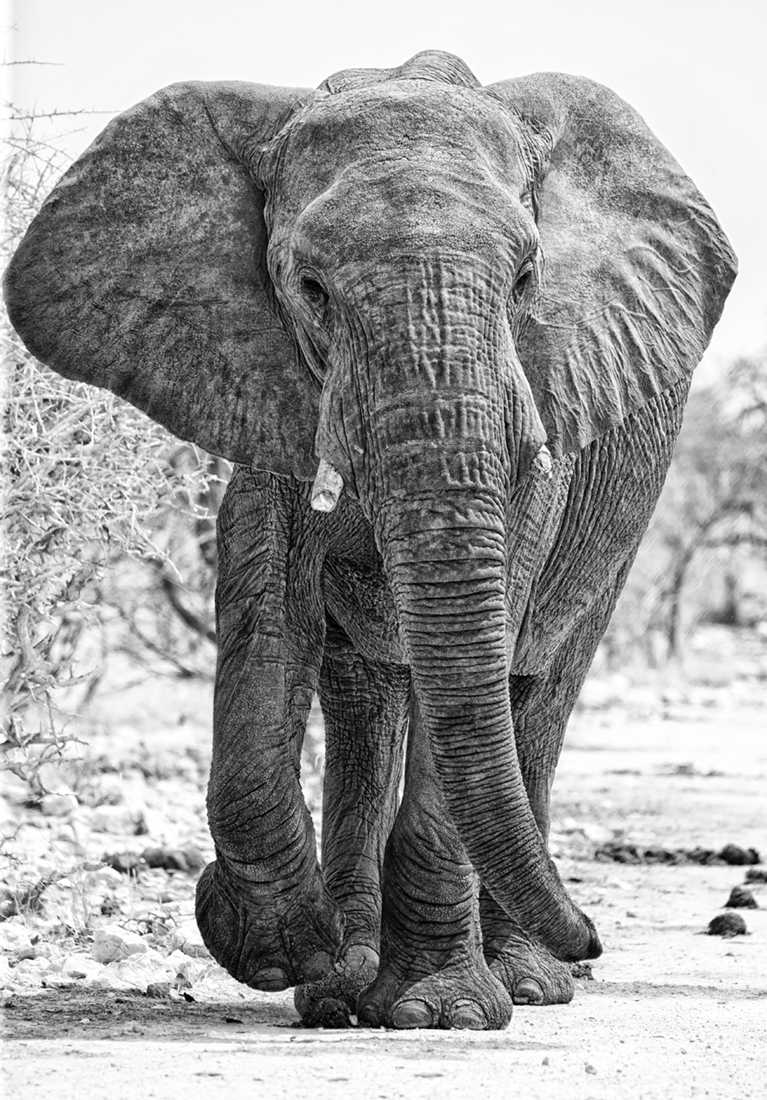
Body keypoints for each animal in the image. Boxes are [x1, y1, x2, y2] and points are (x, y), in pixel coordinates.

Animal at [4, 50, 735, 1031]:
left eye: (524, 281)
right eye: (310, 289)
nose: (595, 937)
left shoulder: (545, 398)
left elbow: (486, 642)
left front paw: (440, 1013)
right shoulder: (263, 384)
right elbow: (267, 605)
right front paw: (275, 948)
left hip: (624, 512)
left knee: (534, 680)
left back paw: (523, 982)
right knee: (365, 694)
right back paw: (341, 985)